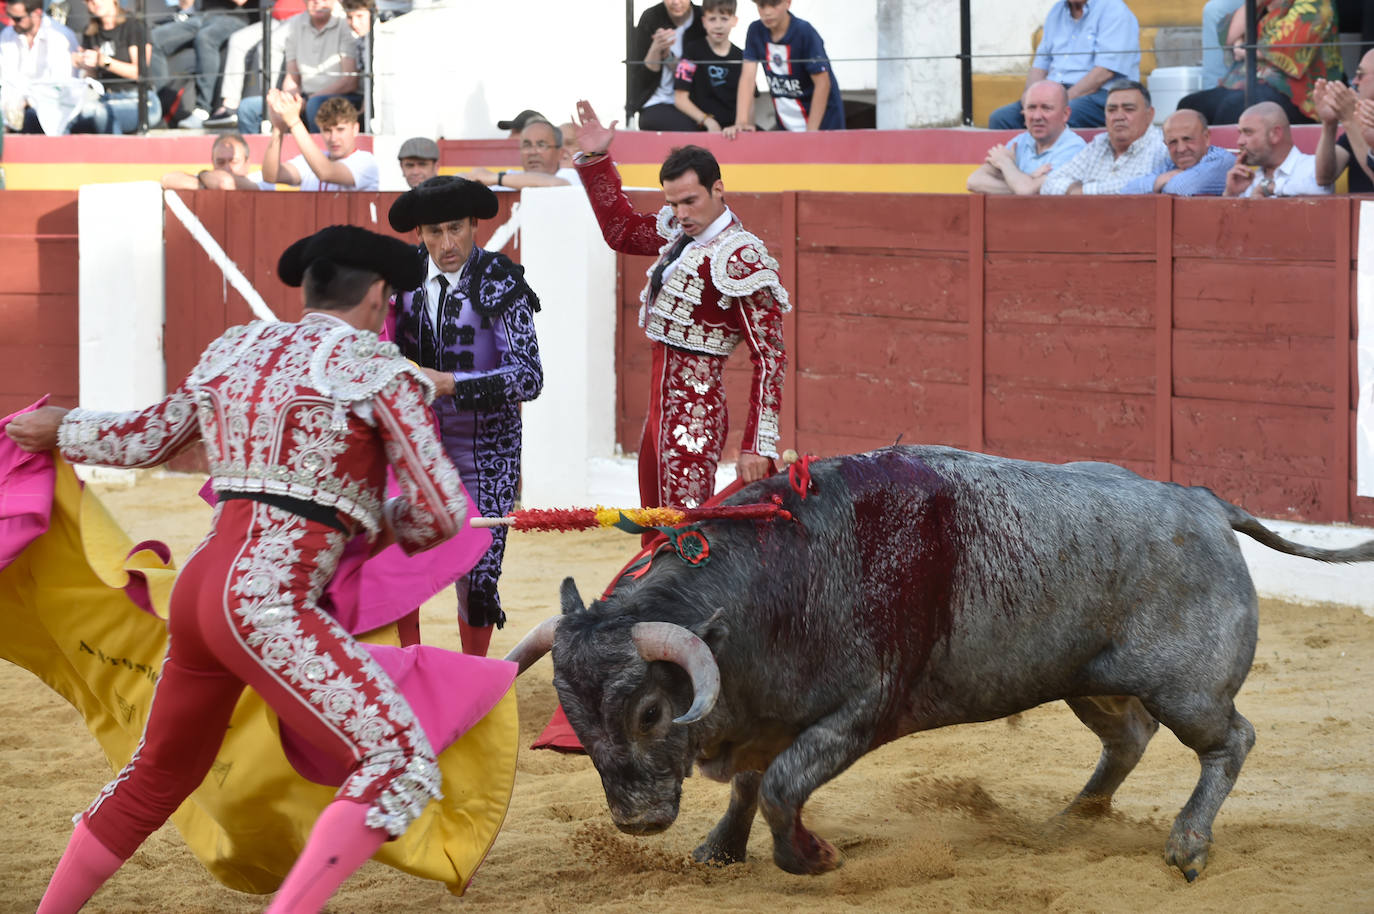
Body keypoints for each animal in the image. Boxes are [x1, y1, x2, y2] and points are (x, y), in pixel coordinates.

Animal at [505, 445, 1374, 879]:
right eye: (575, 719)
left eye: (651, 710)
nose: (636, 820)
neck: (778, 585)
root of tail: (1203, 500)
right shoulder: (764, 709)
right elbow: (753, 782)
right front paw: (718, 850)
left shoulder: (860, 709)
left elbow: (781, 783)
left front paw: (810, 859)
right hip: (1082, 676)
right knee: (1128, 738)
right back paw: (1072, 820)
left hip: (1185, 686)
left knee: (1229, 740)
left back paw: (1187, 845)